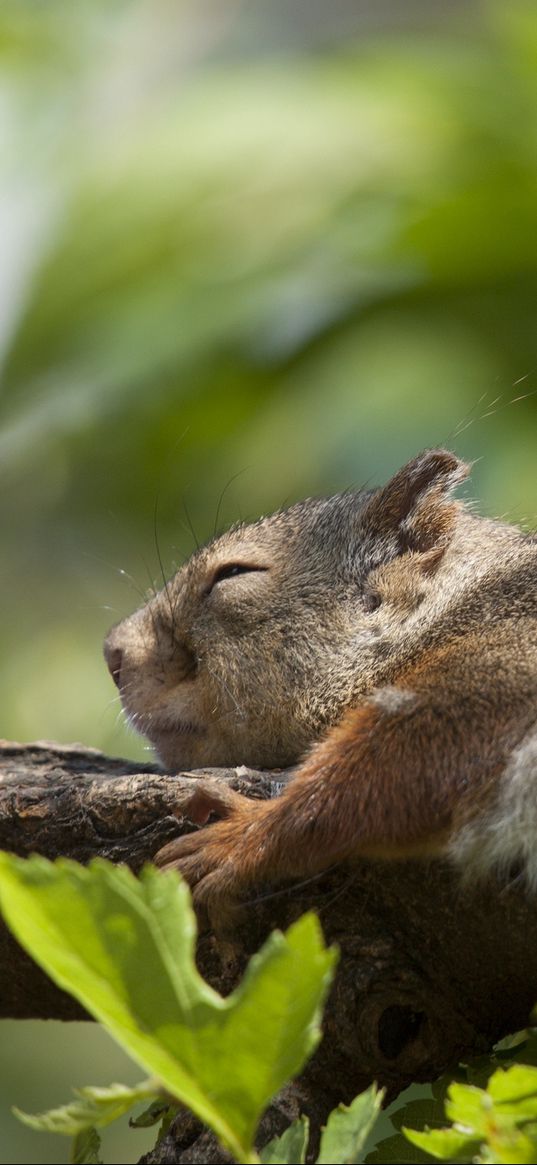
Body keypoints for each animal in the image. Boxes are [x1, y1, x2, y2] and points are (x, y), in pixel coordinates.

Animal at [102, 449, 535, 913]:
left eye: (232, 573)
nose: (112, 652)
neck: (451, 608)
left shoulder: (504, 664)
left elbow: (396, 763)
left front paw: (246, 833)